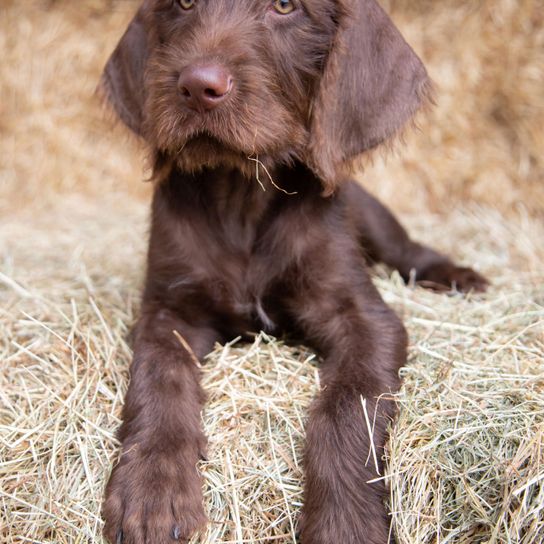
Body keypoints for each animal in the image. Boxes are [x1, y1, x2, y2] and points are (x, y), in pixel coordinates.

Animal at [100, 1, 486, 544]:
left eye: (285, 7)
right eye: (183, 4)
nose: (197, 85)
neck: (241, 195)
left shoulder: (364, 319)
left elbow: (346, 405)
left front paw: (344, 521)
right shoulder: (167, 311)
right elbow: (158, 377)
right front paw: (152, 485)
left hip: (378, 223)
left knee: (410, 251)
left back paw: (458, 275)